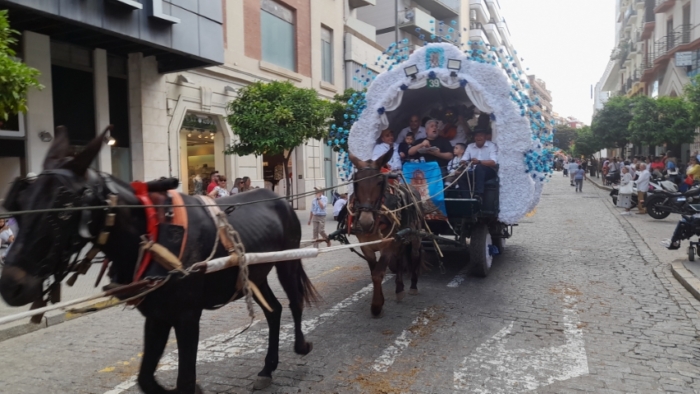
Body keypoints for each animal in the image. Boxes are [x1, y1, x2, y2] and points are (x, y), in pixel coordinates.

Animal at [0, 127, 318, 392]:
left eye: (64, 211)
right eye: (19, 205)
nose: (11, 285)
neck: (152, 236)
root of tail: (280, 200)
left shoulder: (187, 316)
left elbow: (184, 381)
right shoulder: (156, 314)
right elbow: (146, 379)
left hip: (288, 261)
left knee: (294, 302)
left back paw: (301, 345)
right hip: (254, 274)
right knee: (274, 310)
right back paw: (267, 368)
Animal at [348, 148, 424, 318]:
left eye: (379, 182)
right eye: (356, 182)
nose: (365, 222)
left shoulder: (388, 245)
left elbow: (378, 273)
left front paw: (376, 306)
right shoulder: (366, 246)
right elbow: (374, 272)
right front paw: (380, 301)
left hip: (414, 235)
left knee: (415, 255)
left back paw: (413, 286)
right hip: (400, 239)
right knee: (401, 259)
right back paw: (399, 288)